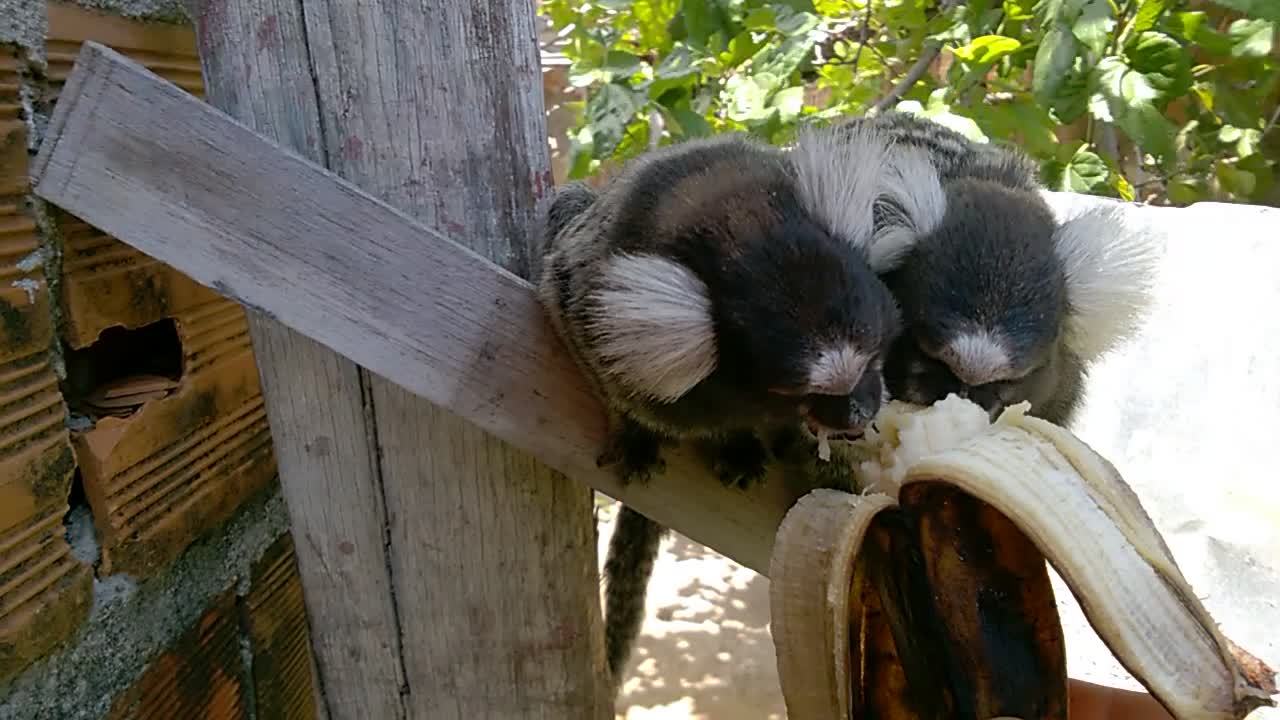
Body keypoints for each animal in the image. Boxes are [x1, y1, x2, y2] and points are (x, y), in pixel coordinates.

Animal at [535, 128, 906, 681]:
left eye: (871, 358)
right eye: (806, 394)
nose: (859, 415)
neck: (744, 225)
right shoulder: (589, 300)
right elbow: (588, 342)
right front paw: (665, 437)